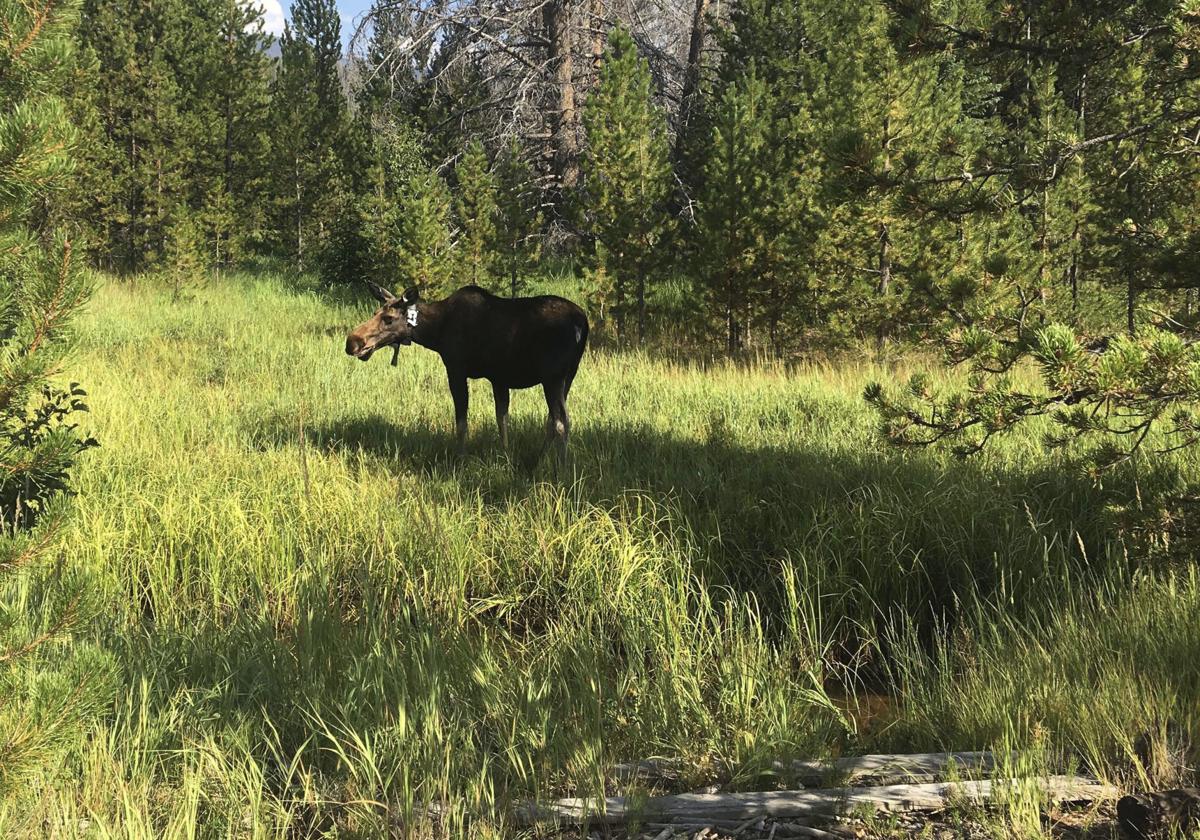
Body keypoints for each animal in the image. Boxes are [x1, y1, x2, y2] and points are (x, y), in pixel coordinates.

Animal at [345, 282, 589, 460]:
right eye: (375, 311)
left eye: (388, 318)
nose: (353, 341)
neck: (436, 332)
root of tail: (582, 322)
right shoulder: (499, 378)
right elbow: (502, 418)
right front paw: (505, 456)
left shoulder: (456, 369)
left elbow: (462, 422)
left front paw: (460, 460)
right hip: (569, 375)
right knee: (552, 420)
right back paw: (538, 461)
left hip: (553, 377)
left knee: (562, 422)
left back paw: (560, 471)